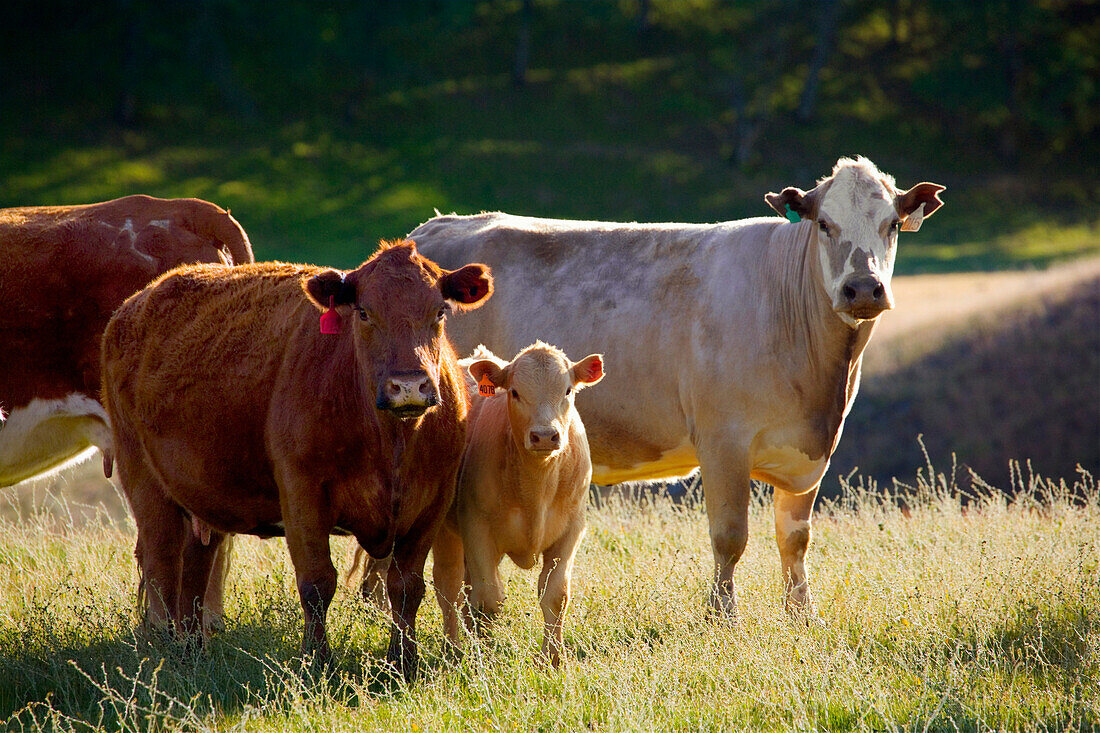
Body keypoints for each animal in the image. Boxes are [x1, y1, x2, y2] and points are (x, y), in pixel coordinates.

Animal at [99, 241, 495, 677]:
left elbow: (406, 586)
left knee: (195, 568)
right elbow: (317, 583)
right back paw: (166, 653)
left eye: (439, 311)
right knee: (161, 565)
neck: (391, 440)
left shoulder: (432, 502)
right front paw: (318, 661)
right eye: (364, 312)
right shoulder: (302, 494)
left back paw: (192, 652)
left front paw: (403, 663)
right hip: (143, 480)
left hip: (201, 496)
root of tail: (131, 307)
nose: (408, 385)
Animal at [409, 157, 941, 620]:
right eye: (825, 225)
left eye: (893, 225)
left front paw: (801, 616)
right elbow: (730, 535)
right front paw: (723, 617)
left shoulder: (808, 453)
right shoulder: (723, 440)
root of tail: (430, 229)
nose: (864, 288)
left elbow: (795, 538)